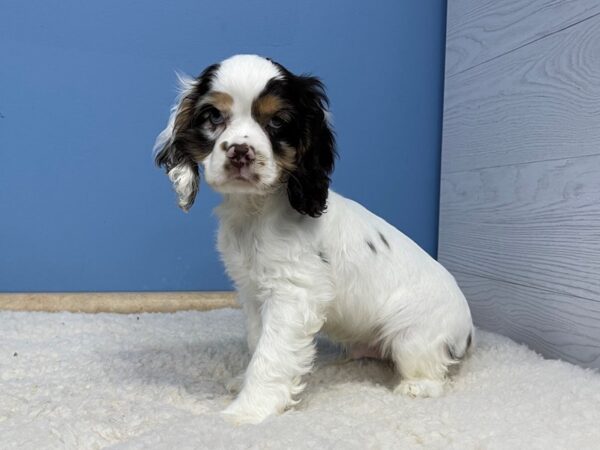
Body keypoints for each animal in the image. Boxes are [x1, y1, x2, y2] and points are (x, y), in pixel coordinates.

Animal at [154, 54, 474, 424]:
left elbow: (271, 355)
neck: (256, 211)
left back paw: (415, 387)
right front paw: (243, 384)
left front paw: (246, 412)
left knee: (431, 373)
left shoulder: (292, 294)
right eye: (214, 116)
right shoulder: (253, 293)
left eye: (278, 121)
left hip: (412, 336)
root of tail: (469, 330)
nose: (240, 151)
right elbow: (257, 341)